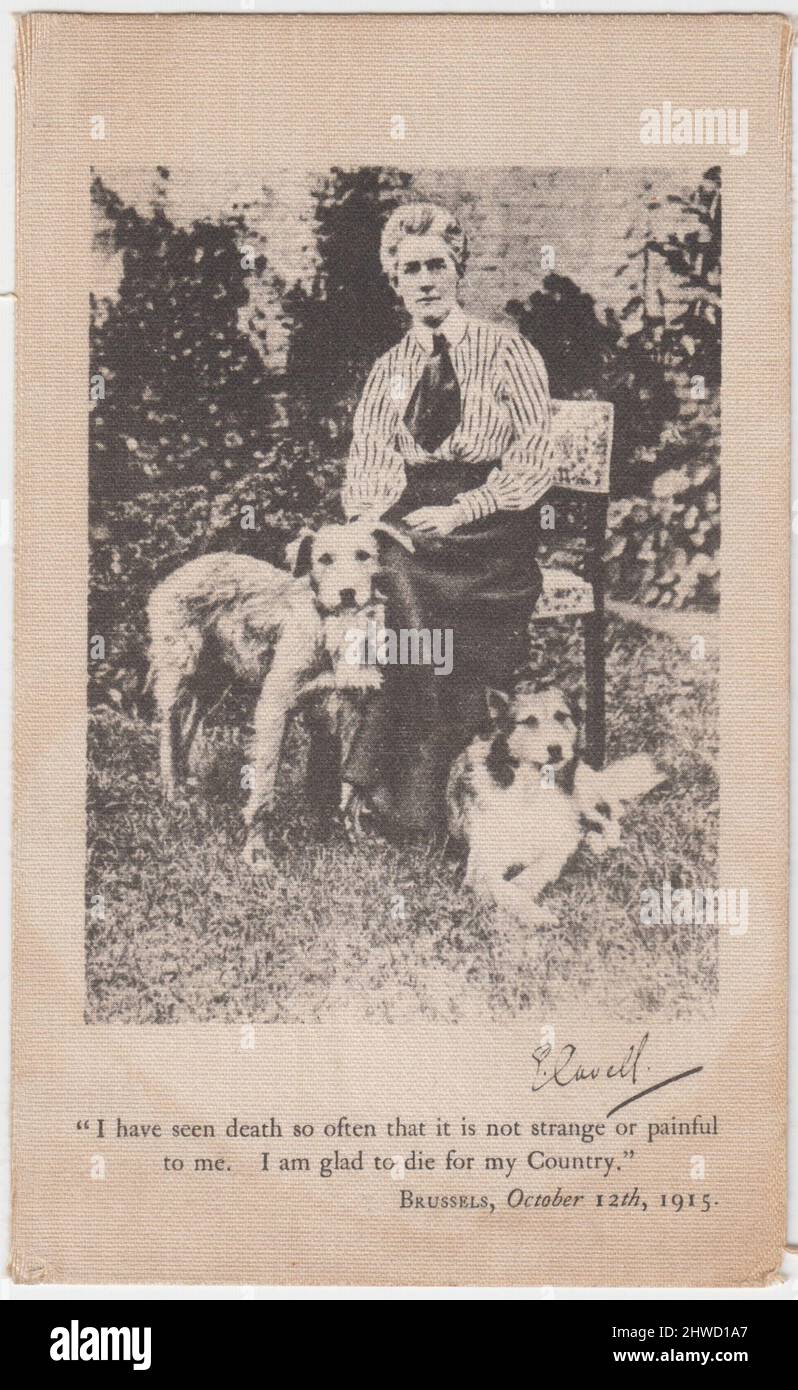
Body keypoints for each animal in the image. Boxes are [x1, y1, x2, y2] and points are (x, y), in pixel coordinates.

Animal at [145, 519, 417, 856]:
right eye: (324, 558)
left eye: (363, 555)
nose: (347, 594)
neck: (330, 631)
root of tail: (179, 572)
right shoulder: (275, 708)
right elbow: (264, 784)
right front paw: (256, 850)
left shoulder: (353, 712)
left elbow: (351, 788)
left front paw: (355, 837)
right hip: (179, 672)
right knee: (168, 730)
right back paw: (173, 793)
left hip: (213, 682)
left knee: (188, 728)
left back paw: (186, 784)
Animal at [447, 681, 667, 922]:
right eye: (529, 721)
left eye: (561, 716)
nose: (556, 748)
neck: (531, 788)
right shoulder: (481, 863)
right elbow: (499, 886)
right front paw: (536, 915)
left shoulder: (563, 840)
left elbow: (540, 867)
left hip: (581, 795)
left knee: (611, 817)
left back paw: (603, 841)